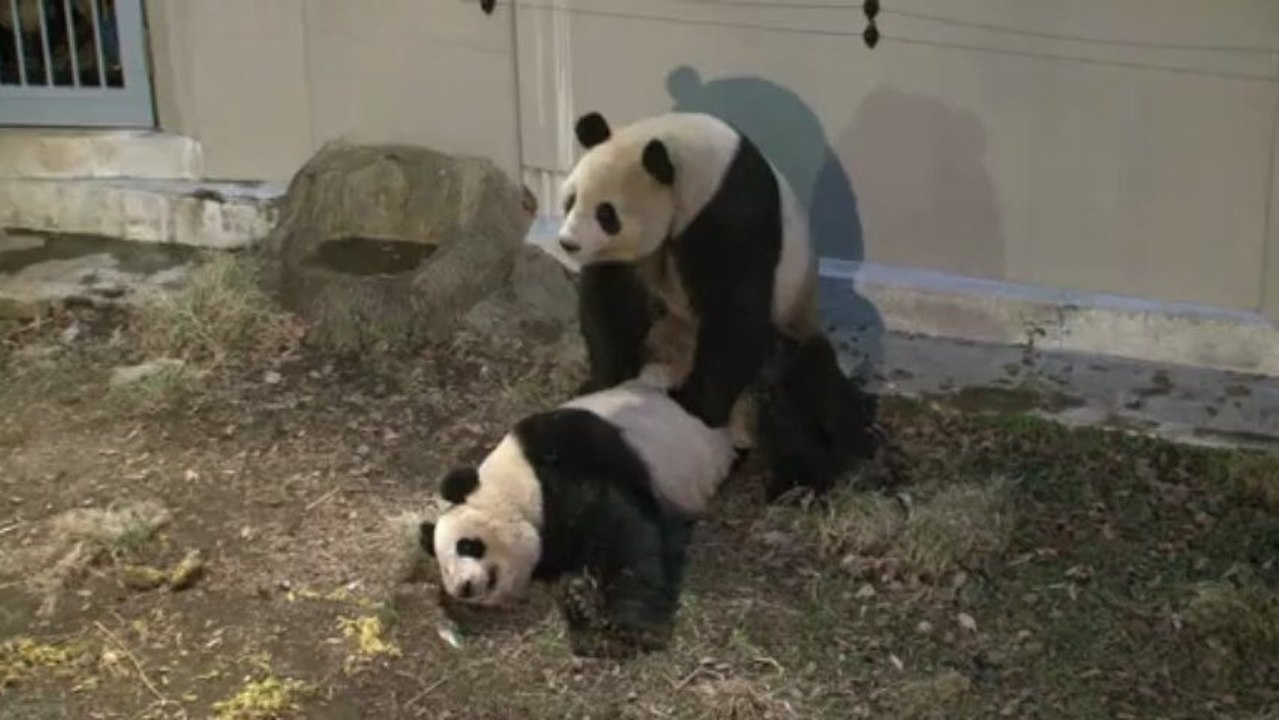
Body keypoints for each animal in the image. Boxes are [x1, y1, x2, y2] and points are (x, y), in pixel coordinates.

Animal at [419, 365, 735, 657]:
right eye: (445, 569)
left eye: (466, 546)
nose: (463, 588)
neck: (516, 484)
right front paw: (579, 602)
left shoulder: (568, 456)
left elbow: (624, 527)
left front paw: (630, 629)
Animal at [557, 109, 880, 500]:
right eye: (571, 199)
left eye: (607, 215)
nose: (568, 242)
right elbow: (613, 295)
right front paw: (602, 380)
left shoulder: (732, 212)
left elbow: (735, 311)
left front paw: (695, 403)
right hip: (666, 331)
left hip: (790, 335)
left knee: (805, 395)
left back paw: (805, 479)